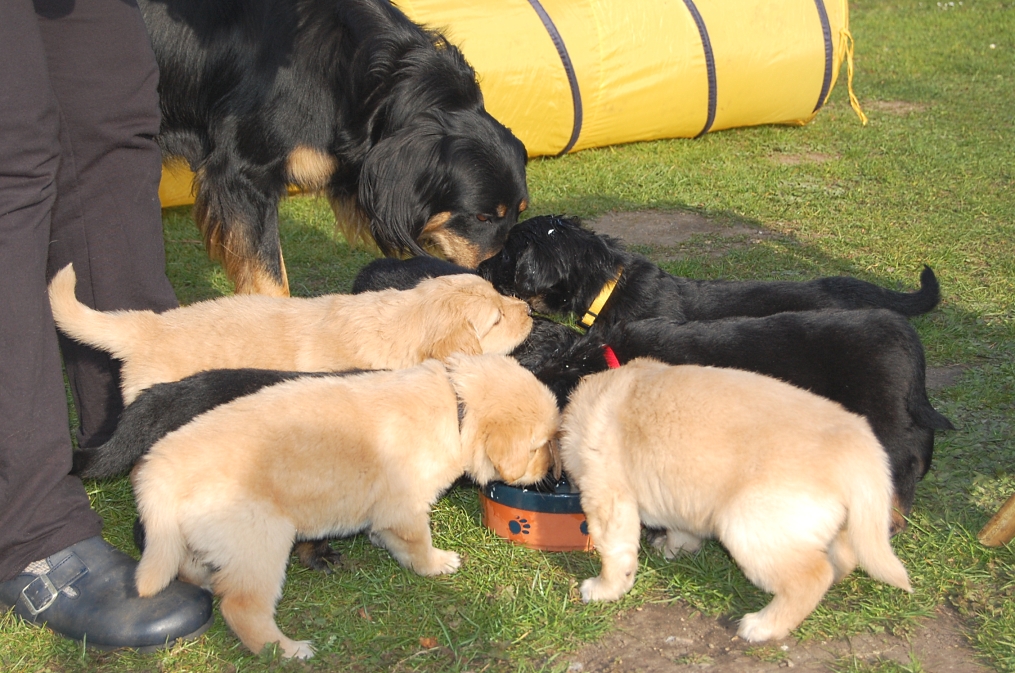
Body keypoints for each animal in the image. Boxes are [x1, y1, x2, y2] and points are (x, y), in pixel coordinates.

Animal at [132, 354, 561, 658]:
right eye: (540, 446)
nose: (554, 475)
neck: (456, 408)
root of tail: (161, 469)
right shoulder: (406, 505)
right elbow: (417, 543)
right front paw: (437, 564)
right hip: (260, 540)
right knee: (241, 607)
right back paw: (288, 650)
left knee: (189, 567)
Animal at [560, 358, 912, 642]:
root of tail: (861, 448)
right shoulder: (683, 493)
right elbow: (682, 529)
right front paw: (674, 549)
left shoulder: (608, 496)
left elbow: (615, 553)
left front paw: (603, 589)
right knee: (841, 557)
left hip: (749, 523)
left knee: (811, 577)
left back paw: (763, 626)